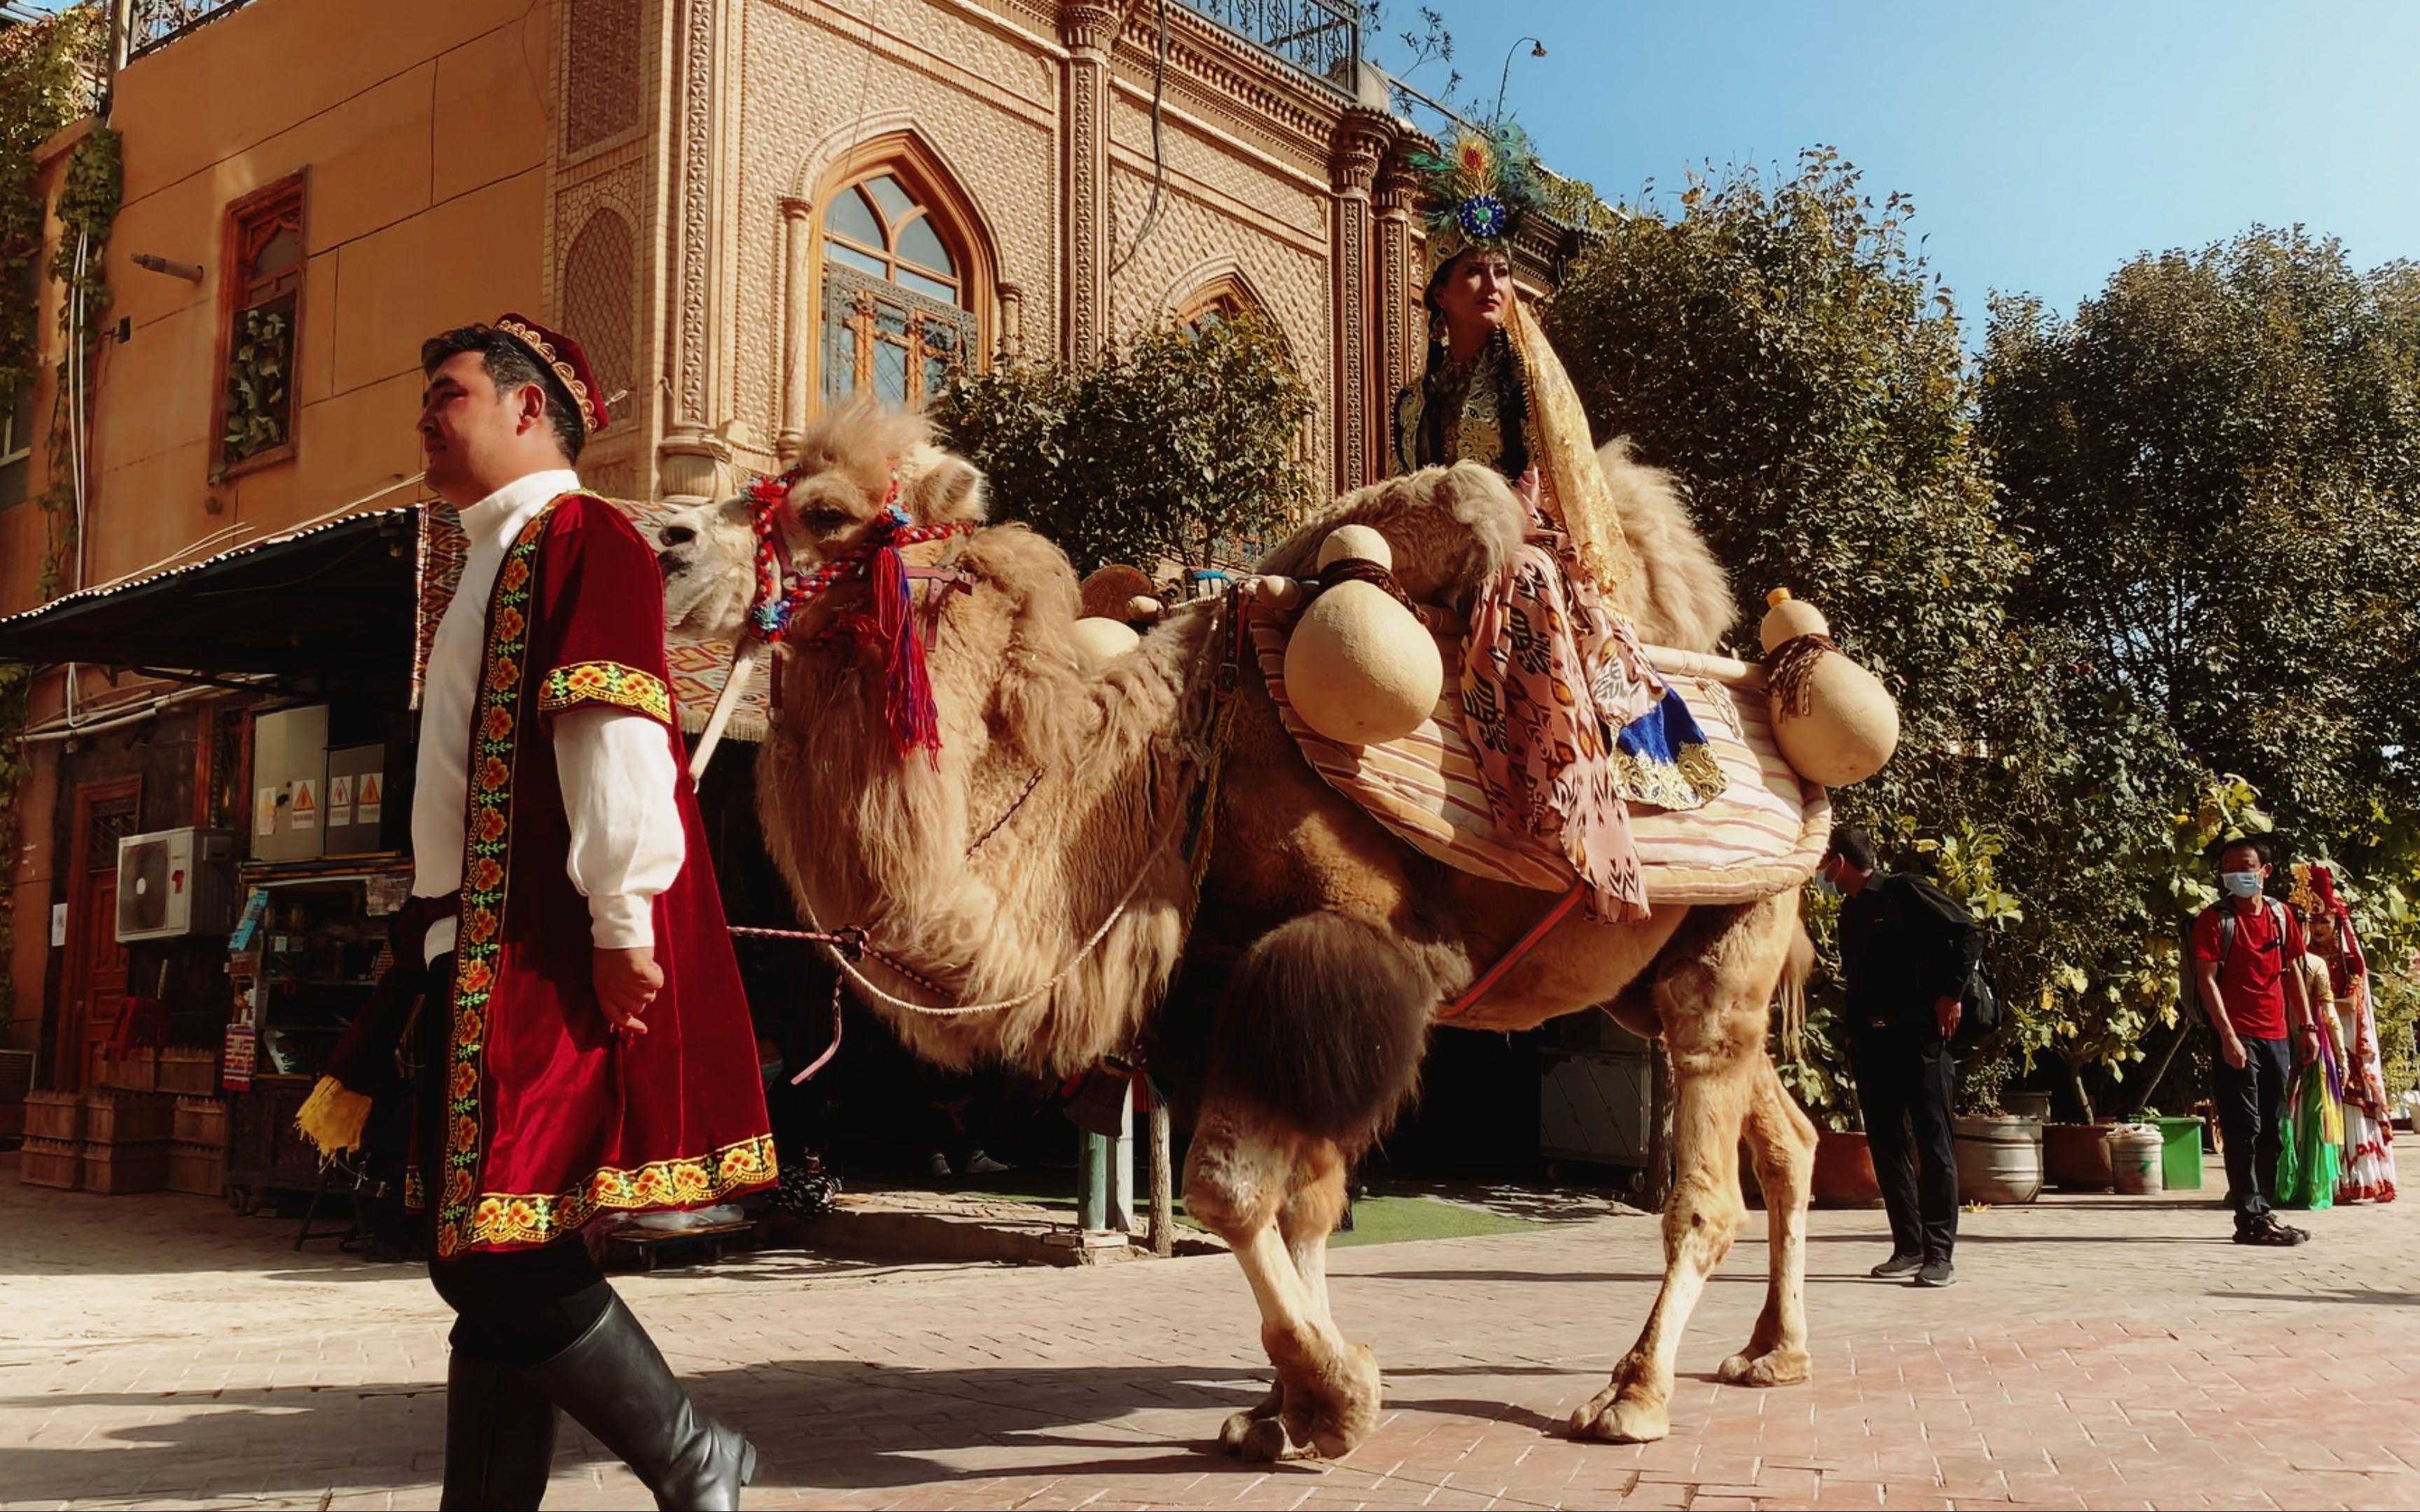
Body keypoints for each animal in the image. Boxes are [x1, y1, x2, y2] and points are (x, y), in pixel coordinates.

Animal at [653, 404, 1819, 1461]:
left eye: (828, 512)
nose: (668, 541)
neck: (1147, 773)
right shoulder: (1216, 985)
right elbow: (1296, 1203)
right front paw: (1281, 1411)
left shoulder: (1342, 947)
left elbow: (1231, 1189)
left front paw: (1333, 1399)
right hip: (1653, 977)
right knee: (1788, 1137)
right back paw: (1772, 1352)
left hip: (1733, 939)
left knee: (1706, 1190)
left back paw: (1632, 1397)